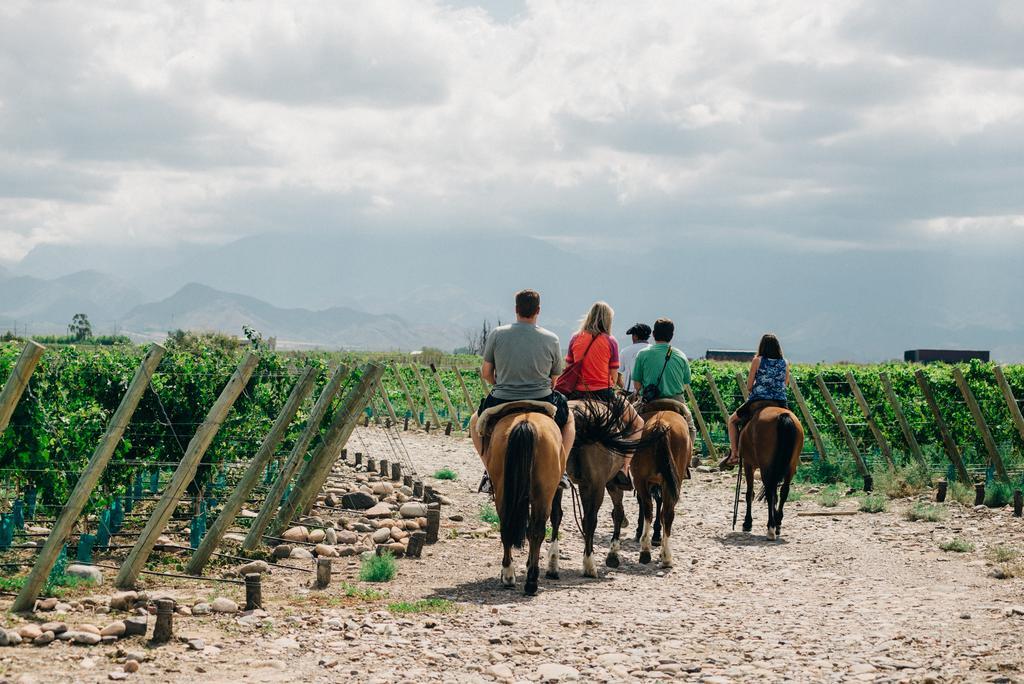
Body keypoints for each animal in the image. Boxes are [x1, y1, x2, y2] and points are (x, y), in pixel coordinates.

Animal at [483, 405, 565, 593]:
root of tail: (525, 422)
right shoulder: (554, 491)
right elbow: (556, 516)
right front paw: (551, 565)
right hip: (544, 493)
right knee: (537, 531)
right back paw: (530, 580)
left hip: (503, 490)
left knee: (506, 527)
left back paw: (509, 575)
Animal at [626, 403, 692, 569]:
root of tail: (659, 424)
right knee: (666, 513)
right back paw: (665, 556)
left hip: (642, 480)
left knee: (649, 509)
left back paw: (646, 550)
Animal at [741, 405, 802, 540]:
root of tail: (783, 416)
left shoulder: (748, 464)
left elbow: (749, 494)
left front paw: (747, 523)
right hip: (791, 465)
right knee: (784, 491)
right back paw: (777, 523)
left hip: (765, 467)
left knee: (769, 493)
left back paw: (771, 528)